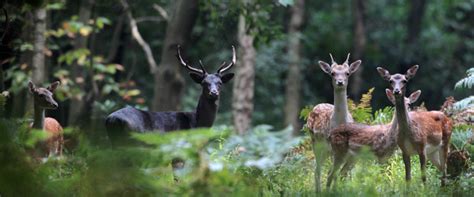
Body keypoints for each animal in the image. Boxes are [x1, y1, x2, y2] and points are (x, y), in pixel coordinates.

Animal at [306, 53, 362, 192]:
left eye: (347, 73)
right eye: (332, 73)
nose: (340, 82)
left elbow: (342, 174)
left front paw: (337, 190)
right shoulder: (333, 148)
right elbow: (333, 173)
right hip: (316, 143)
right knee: (317, 170)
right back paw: (318, 192)